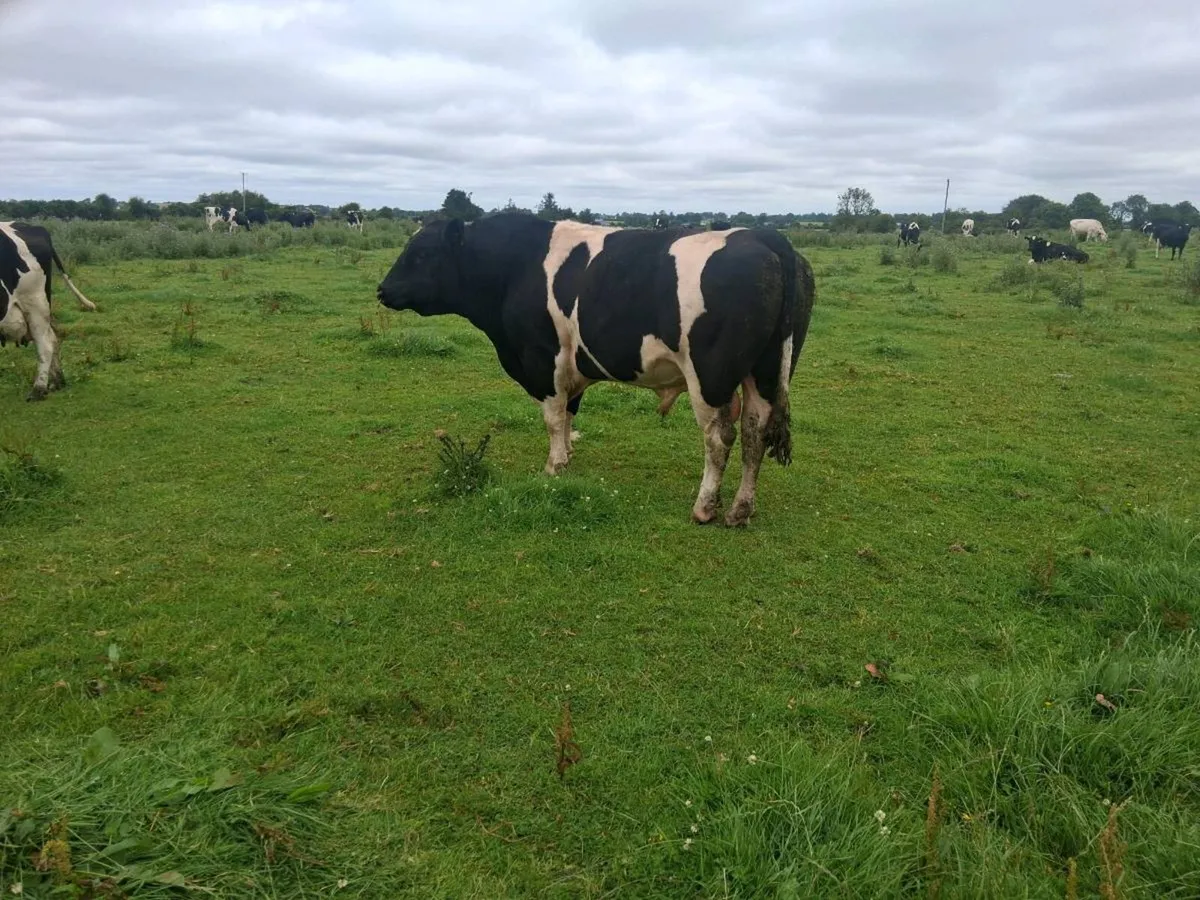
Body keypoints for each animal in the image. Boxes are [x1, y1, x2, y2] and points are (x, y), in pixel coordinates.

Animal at [1, 222, 97, 400]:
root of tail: (36, 227)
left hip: (36, 303)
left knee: (45, 344)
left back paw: (39, 389)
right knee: (53, 338)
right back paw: (56, 381)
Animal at [376, 213, 815, 527]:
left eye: (420, 254)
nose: (382, 289)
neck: (514, 267)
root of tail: (766, 237)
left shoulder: (543, 357)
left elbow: (553, 416)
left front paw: (554, 465)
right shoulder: (574, 364)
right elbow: (570, 411)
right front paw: (569, 454)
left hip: (711, 377)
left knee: (720, 437)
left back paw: (705, 507)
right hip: (764, 373)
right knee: (755, 433)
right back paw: (741, 510)